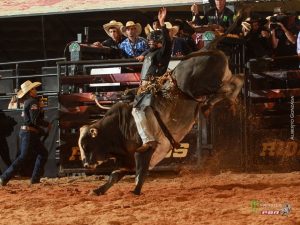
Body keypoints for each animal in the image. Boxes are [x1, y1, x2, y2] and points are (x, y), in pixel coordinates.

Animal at [78, 48, 244, 195]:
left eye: (86, 145)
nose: (86, 164)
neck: (120, 127)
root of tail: (214, 51)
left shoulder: (146, 149)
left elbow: (141, 171)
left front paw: (135, 191)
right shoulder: (127, 160)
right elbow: (114, 176)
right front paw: (98, 190)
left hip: (201, 87)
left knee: (226, 87)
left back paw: (210, 104)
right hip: (219, 79)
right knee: (238, 80)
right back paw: (212, 104)